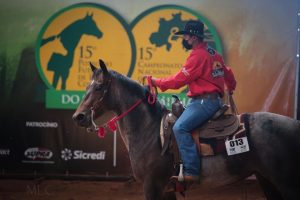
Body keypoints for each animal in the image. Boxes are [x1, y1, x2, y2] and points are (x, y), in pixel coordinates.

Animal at [72, 60, 300, 199]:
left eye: (99, 87)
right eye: (86, 87)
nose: (78, 117)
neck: (149, 131)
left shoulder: (152, 186)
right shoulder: (166, 190)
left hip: (286, 183)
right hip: (266, 179)